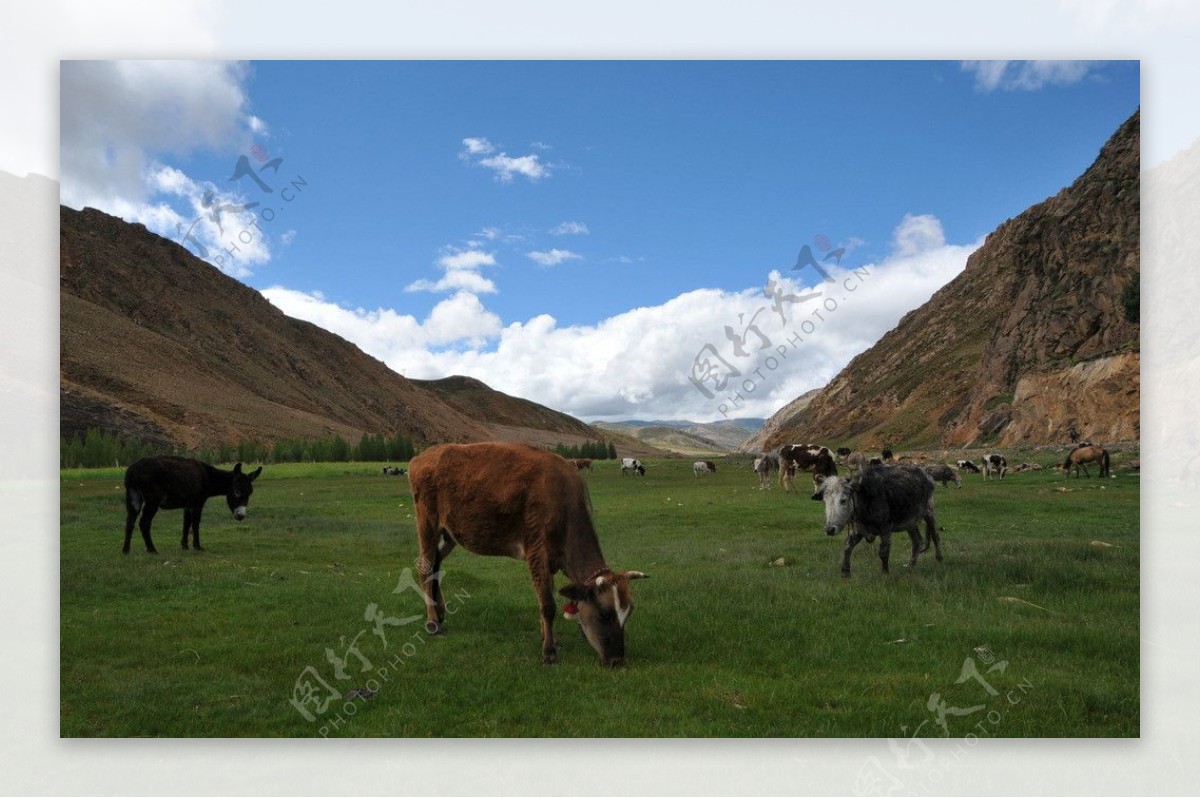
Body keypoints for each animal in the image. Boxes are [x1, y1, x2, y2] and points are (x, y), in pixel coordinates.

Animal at [410, 441, 648, 667]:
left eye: (628, 613)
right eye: (605, 614)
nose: (618, 660)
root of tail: (420, 458)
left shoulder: (550, 559)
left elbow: (547, 594)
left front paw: (550, 639)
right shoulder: (537, 550)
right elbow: (548, 604)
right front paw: (549, 653)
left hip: (450, 533)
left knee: (436, 566)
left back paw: (440, 612)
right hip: (428, 523)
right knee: (425, 567)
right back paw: (432, 622)